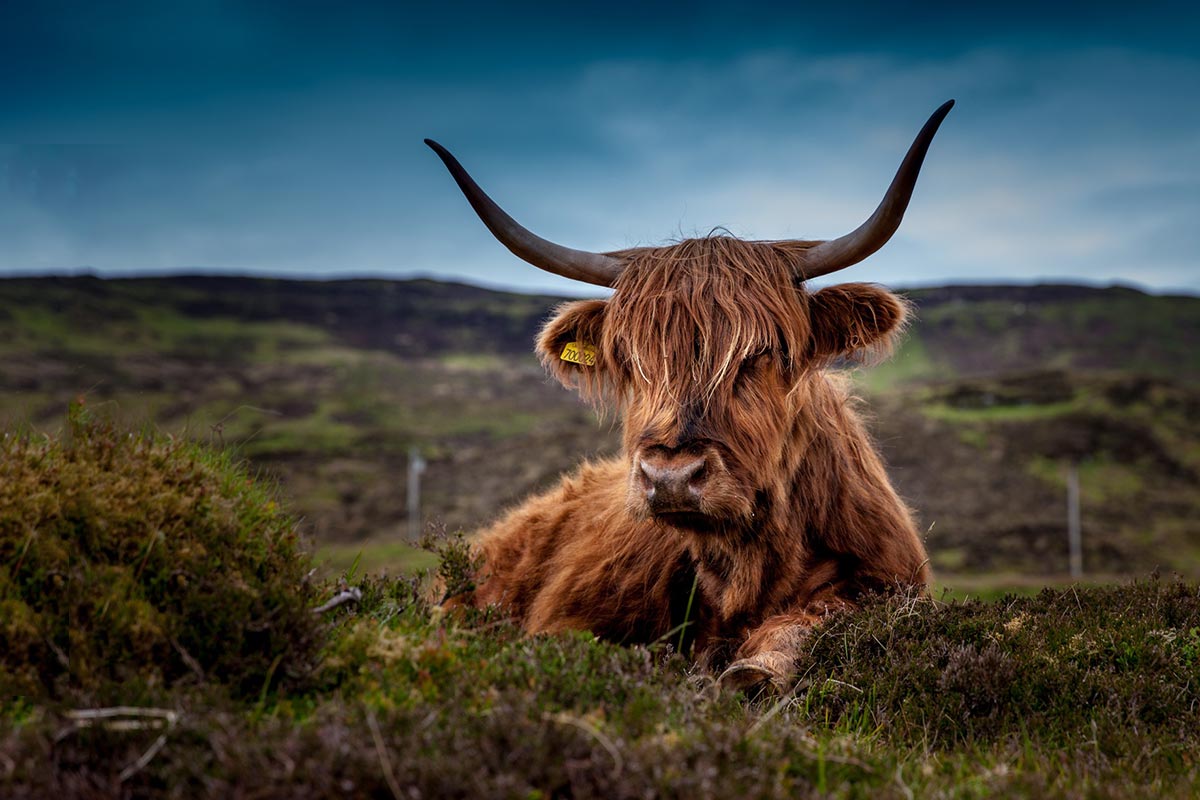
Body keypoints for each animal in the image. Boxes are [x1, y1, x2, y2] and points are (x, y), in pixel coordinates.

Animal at [427, 98, 950, 690]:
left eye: (763, 352)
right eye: (630, 359)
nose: (671, 477)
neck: (746, 568)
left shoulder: (886, 584)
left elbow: (815, 619)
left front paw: (755, 669)